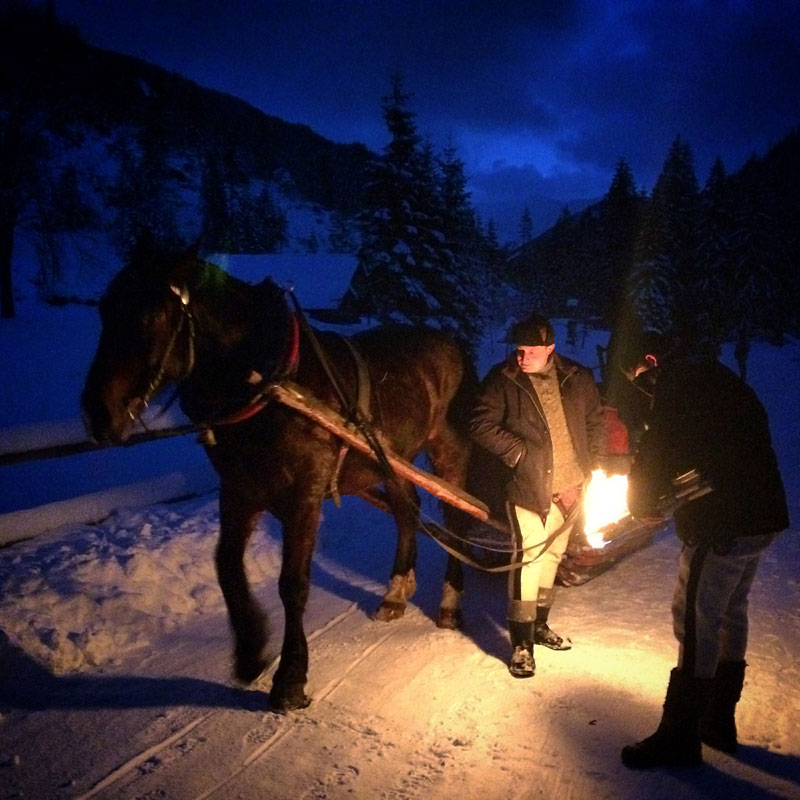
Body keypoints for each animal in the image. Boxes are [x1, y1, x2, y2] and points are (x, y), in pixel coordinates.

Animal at [83, 241, 476, 708]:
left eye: (154, 316)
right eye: (103, 309)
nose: (98, 413)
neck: (269, 386)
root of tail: (451, 341)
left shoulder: (302, 497)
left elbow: (293, 584)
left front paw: (290, 678)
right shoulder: (239, 492)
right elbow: (227, 568)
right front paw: (251, 651)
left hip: (446, 454)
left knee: (457, 520)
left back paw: (450, 604)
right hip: (389, 460)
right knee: (406, 509)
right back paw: (396, 592)